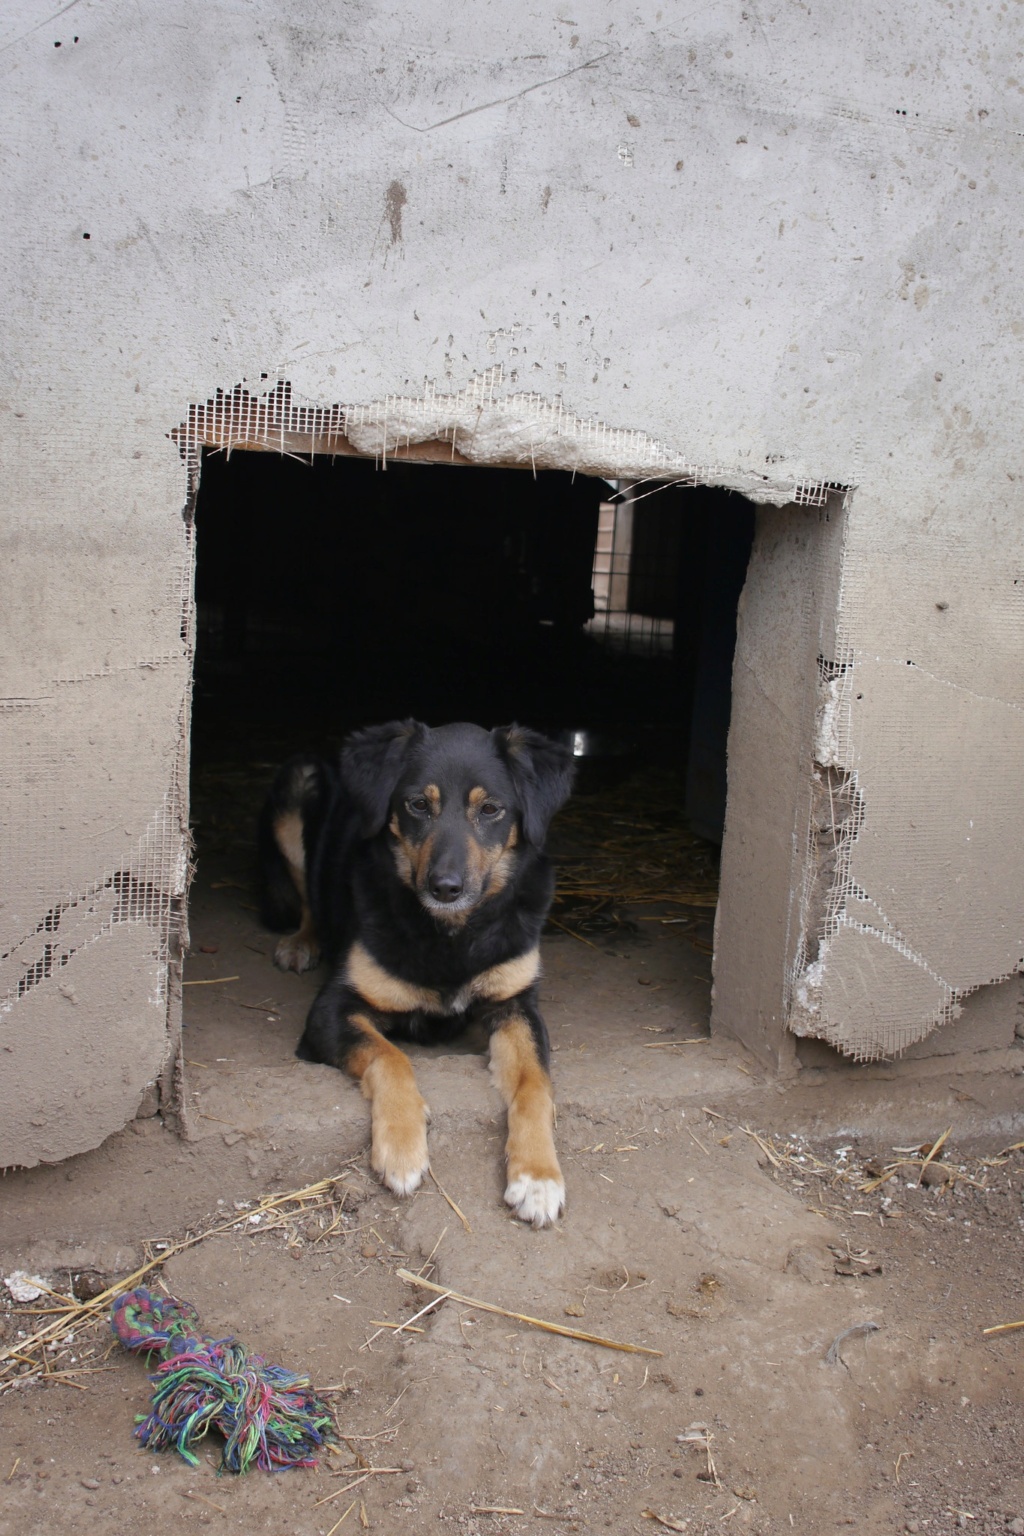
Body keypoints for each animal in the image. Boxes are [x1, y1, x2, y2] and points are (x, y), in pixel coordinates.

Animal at [256, 715, 577, 1222]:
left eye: (491, 809)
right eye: (417, 805)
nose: (445, 887)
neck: (450, 935)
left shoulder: (516, 1006)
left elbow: (534, 1084)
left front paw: (539, 1176)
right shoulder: (332, 1009)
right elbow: (391, 1056)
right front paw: (403, 1148)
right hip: (297, 784)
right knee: (308, 898)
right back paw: (302, 942)